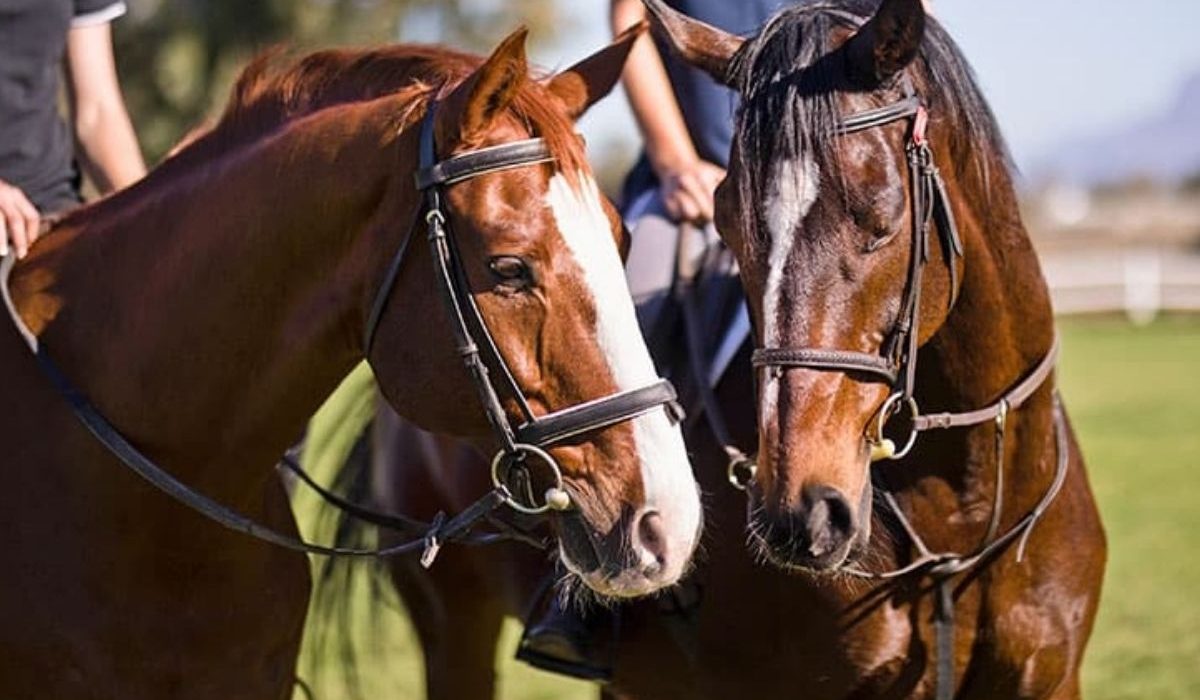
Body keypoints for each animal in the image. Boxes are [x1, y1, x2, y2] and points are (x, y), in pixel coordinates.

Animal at [366, 1, 1106, 698]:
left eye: (881, 218)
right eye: (727, 220)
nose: (800, 512)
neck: (963, 508)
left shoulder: (1050, 681)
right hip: (454, 621)